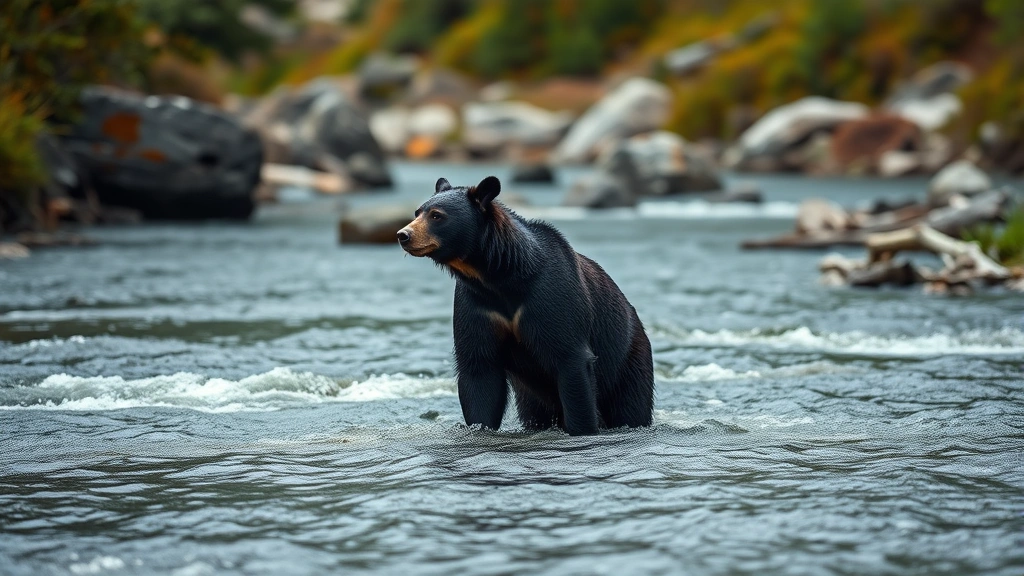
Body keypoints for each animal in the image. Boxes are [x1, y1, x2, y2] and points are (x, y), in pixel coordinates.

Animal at [397, 176, 654, 436]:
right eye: (417, 212)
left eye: (437, 215)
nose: (403, 235)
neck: (499, 277)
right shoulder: (477, 305)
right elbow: (479, 370)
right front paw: (479, 426)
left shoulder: (551, 296)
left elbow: (571, 359)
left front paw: (582, 428)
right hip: (531, 395)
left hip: (626, 360)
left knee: (630, 405)